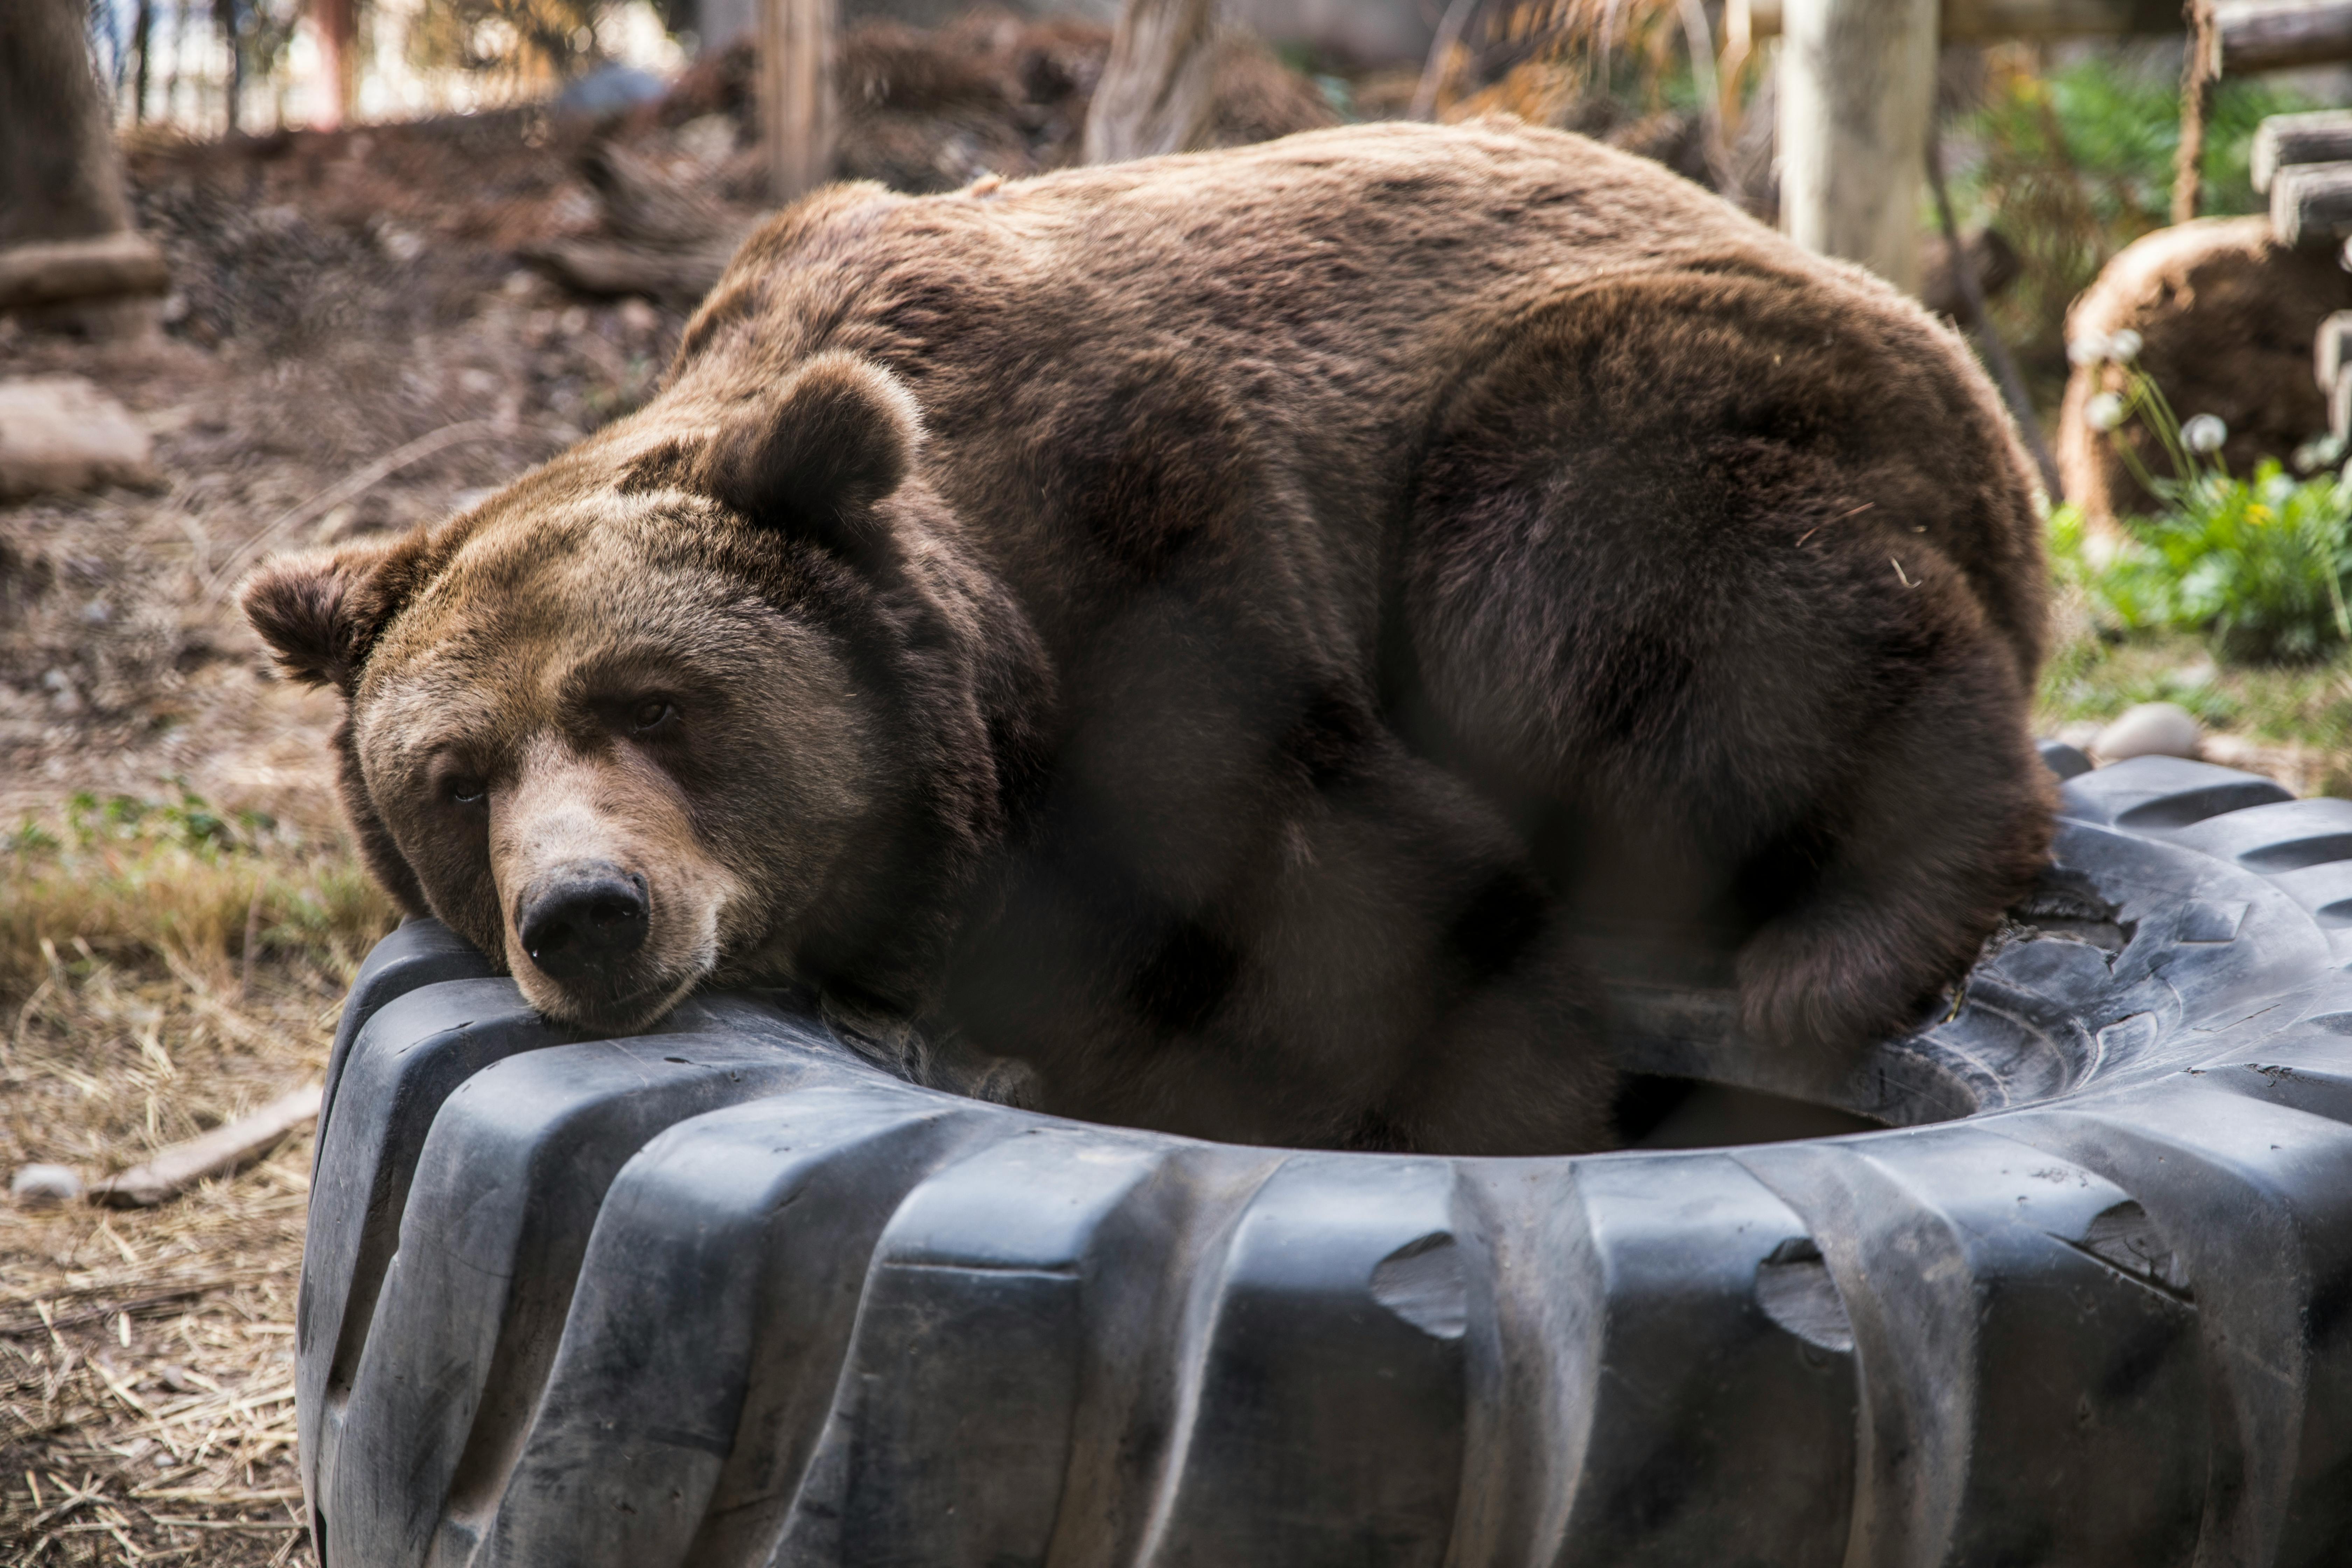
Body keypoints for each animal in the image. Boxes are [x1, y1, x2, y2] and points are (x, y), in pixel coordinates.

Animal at [243, 120, 2060, 1152]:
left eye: (660, 703)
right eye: (457, 776)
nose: (587, 917)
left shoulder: (1160, 569)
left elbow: (1346, 923)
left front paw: (1485, 1108)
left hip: (1619, 400)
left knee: (1630, 602)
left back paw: (1851, 941)